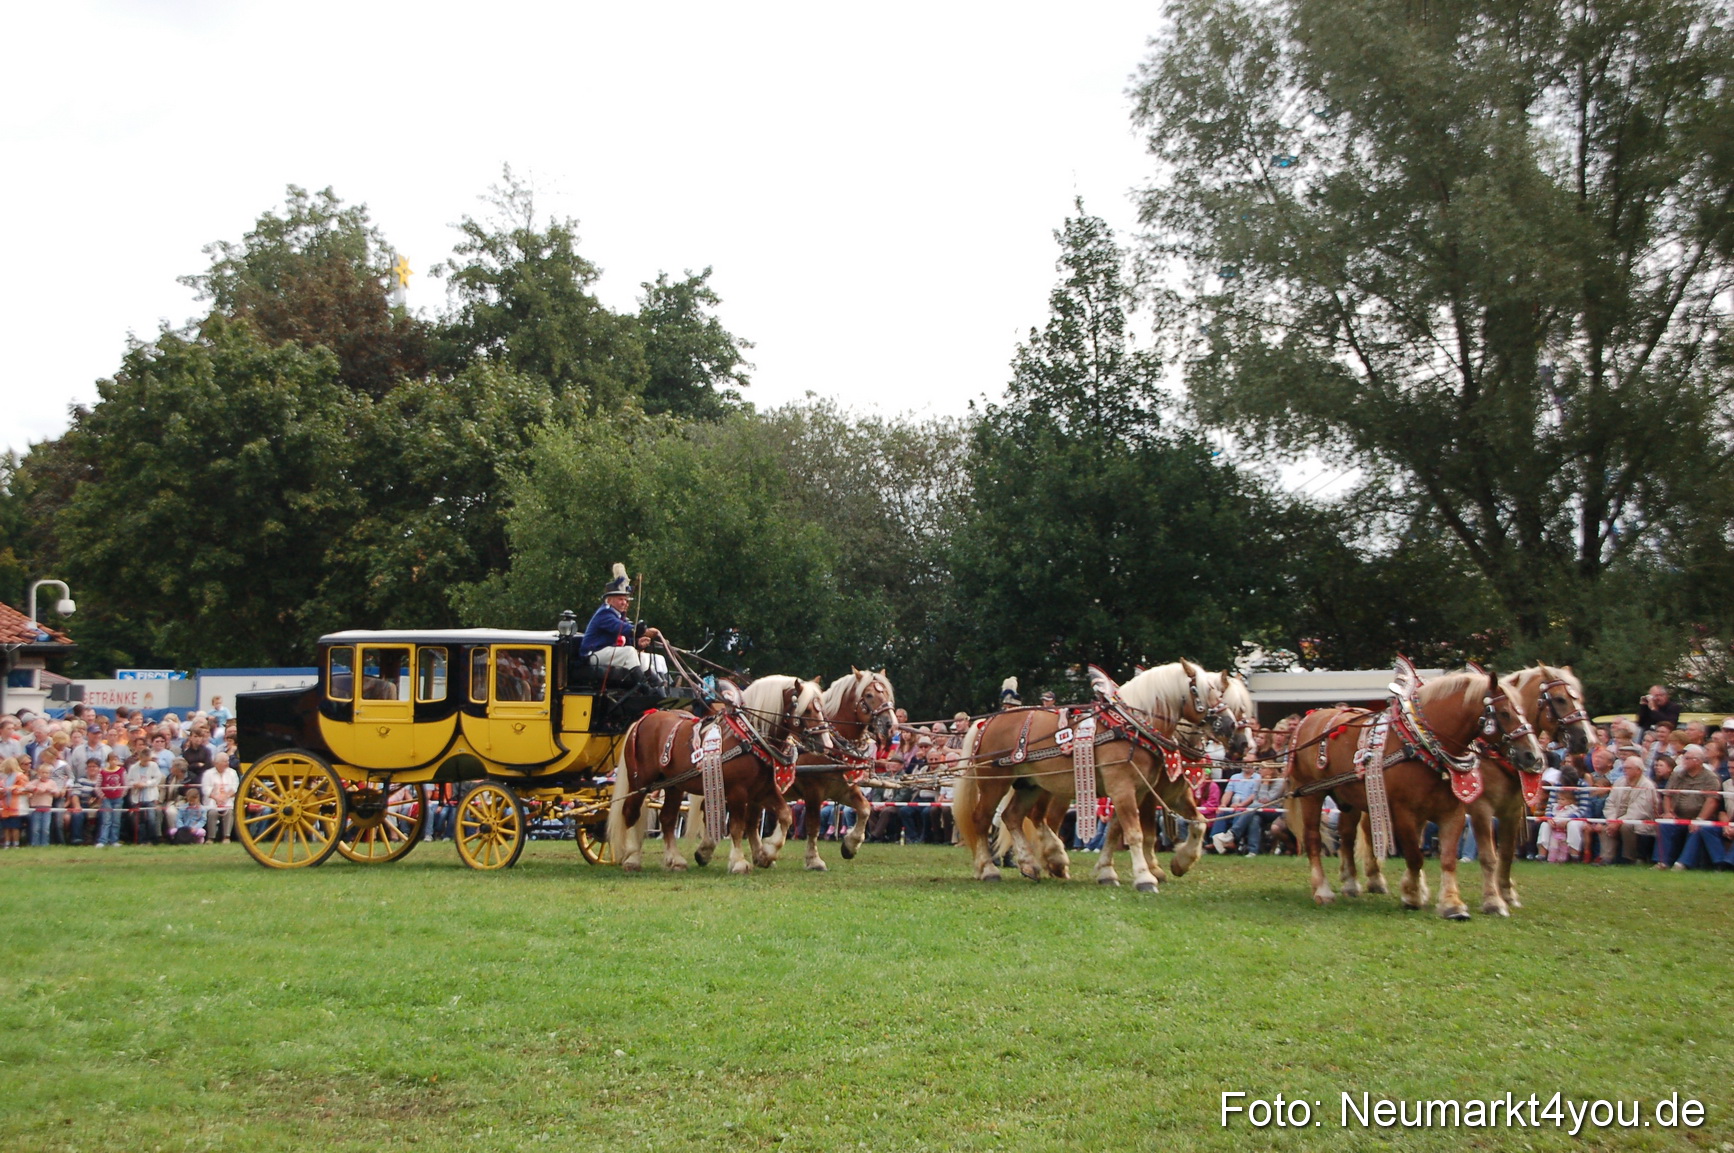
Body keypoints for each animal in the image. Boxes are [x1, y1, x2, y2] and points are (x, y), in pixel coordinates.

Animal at [607, 675, 828, 875]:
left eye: (821, 709)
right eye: (807, 709)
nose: (825, 744)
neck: (749, 737)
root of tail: (645, 717)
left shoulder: (763, 790)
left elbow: (785, 815)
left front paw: (767, 853)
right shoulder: (737, 791)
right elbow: (737, 827)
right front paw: (739, 862)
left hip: (673, 786)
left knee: (667, 818)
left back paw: (675, 860)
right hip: (640, 783)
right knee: (630, 814)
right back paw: (632, 858)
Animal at [784, 668, 894, 871]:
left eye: (887, 694)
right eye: (869, 695)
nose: (890, 724)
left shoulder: (844, 789)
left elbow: (865, 809)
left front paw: (850, 846)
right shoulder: (813, 791)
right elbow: (813, 824)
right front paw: (814, 860)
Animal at [954, 659, 1232, 892]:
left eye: (1220, 691)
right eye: (1202, 690)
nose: (1229, 724)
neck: (1131, 726)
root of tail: (987, 722)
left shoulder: (1139, 791)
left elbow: (1118, 831)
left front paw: (1111, 872)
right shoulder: (1123, 788)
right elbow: (1135, 833)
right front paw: (1145, 877)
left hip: (1030, 785)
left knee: (1013, 816)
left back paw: (1032, 864)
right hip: (995, 783)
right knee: (982, 819)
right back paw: (989, 869)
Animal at [1283, 660, 1543, 919]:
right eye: (1505, 713)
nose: (1533, 756)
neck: (1423, 745)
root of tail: (1309, 719)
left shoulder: (1454, 812)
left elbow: (1447, 859)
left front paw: (1451, 904)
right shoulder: (1404, 812)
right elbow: (1415, 856)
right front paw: (1413, 896)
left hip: (1347, 800)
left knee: (1346, 837)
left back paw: (1350, 884)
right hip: (1312, 794)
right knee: (1313, 838)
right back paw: (1323, 890)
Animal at [1465, 664, 1594, 914]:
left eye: (1581, 699)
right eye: (1561, 699)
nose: (1586, 740)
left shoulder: (1512, 811)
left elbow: (1506, 853)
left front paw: (1507, 894)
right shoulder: (1481, 809)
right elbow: (1488, 855)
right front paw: (1492, 901)